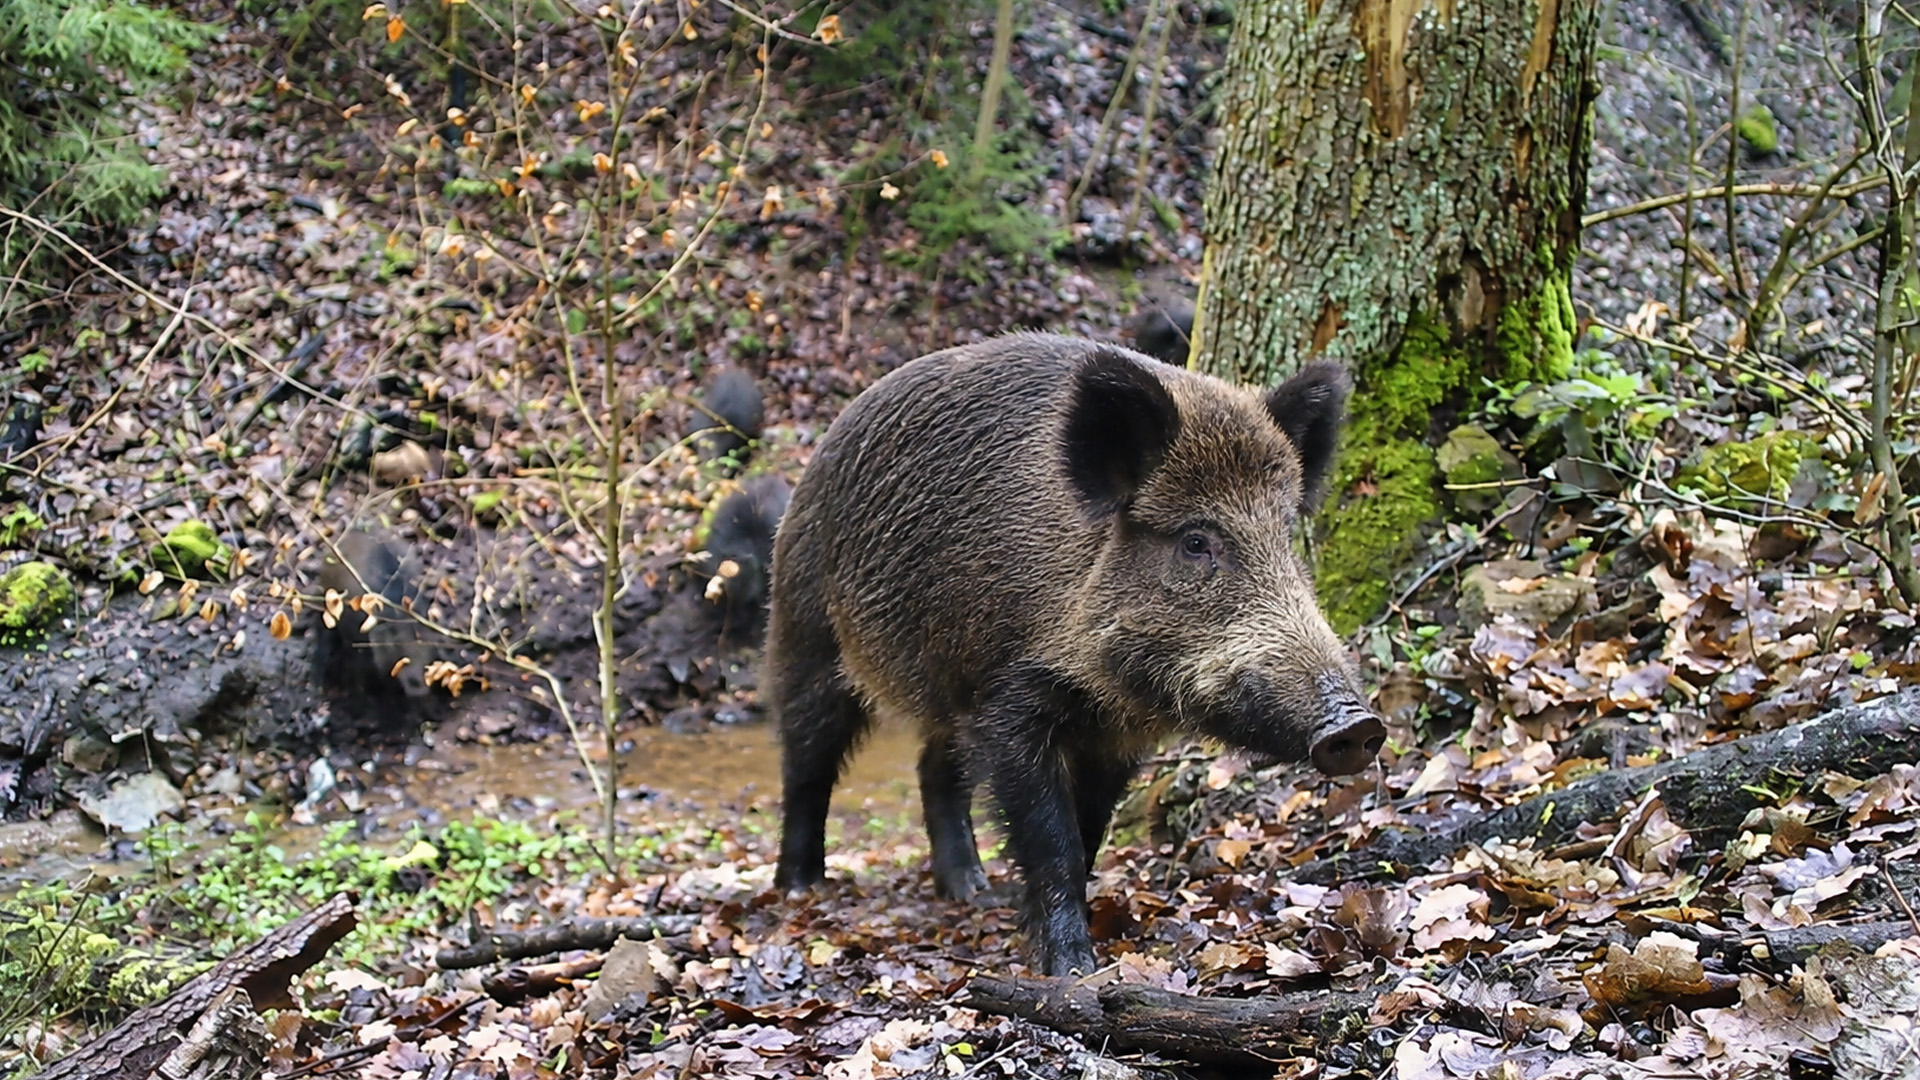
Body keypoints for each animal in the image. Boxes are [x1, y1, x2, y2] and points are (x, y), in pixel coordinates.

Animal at [767, 333, 1385, 976]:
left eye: (1286, 535)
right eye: (1195, 541)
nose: (1357, 725)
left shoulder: (1113, 736)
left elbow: (1088, 834)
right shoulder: (1008, 700)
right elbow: (1052, 838)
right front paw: (1071, 969)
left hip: (946, 684)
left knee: (935, 767)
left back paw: (971, 890)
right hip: (806, 631)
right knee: (807, 759)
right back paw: (800, 888)